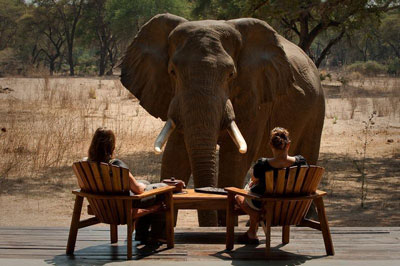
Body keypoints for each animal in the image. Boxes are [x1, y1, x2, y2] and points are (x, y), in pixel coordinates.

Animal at [119, 11, 324, 224]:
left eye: (231, 74)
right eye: (172, 72)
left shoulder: (256, 94)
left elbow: (234, 158)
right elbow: (175, 154)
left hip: (317, 107)